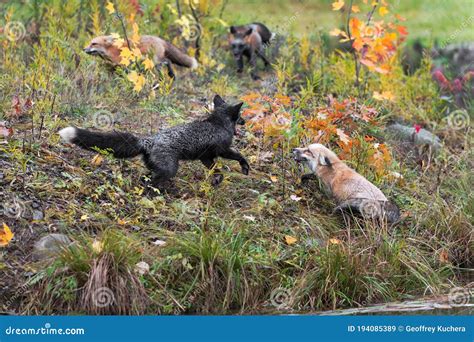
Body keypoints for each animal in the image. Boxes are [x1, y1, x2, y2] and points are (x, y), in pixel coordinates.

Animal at [58, 95, 250, 192]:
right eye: (240, 116)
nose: (246, 121)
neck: (218, 123)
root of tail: (149, 141)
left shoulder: (206, 157)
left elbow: (216, 170)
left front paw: (217, 180)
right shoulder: (222, 150)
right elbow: (239, 155)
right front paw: (245, 167)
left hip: (156, 168)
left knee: (144, 178)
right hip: (169, 170)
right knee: (149, 181)